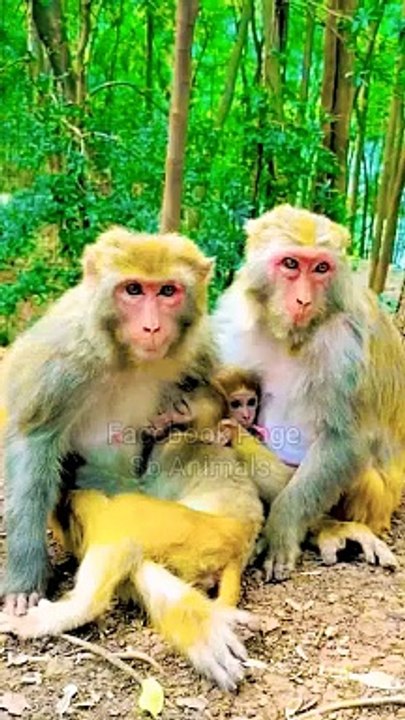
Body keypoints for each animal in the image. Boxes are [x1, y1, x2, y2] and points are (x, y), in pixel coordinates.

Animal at [213, 204, 405, 581]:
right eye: (290, 263)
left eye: (320, 268)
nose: (303, 300)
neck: (290, 336)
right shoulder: (233, 320)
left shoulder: (348, 343)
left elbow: (347, 439)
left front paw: (282, 527)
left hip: (377, 501)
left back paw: (334, 528)